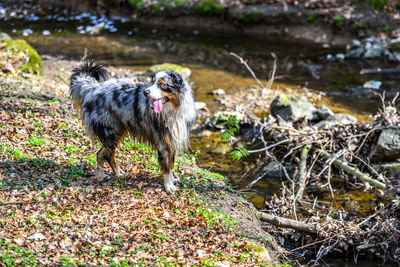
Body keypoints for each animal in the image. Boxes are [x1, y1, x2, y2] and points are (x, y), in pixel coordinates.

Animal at [70, 60, 198, 195]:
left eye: (162, 84)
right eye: (152, 82)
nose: (145, 92)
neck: (172, 109)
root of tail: (93, 88)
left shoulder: (172, 140)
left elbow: (171, 163)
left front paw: (172, 180)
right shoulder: (162, 142)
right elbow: (166, 167)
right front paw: (168, 186)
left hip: (117, 132)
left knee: (108, 155)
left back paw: (118, 173)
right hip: (111, 133)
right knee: (101, 154)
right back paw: (101, 176)